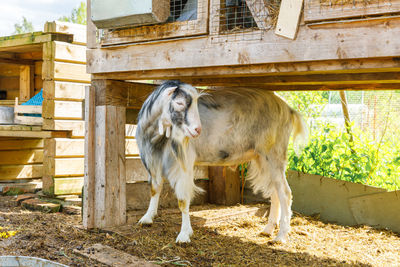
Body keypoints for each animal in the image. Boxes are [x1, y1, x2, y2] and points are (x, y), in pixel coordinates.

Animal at [136, 80, 308, 245]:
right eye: (179, 103)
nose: (198, 130)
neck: (157, 139)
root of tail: (287, 109)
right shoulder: (153, 160)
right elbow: (154, 188)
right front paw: (147, 218)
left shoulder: (183, 163)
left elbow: (183, 200)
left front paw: (184, 235)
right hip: (262, 158)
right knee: (275, 191)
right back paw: (268, 229)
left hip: (274, 153)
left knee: (285, 193)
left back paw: (281, 236)